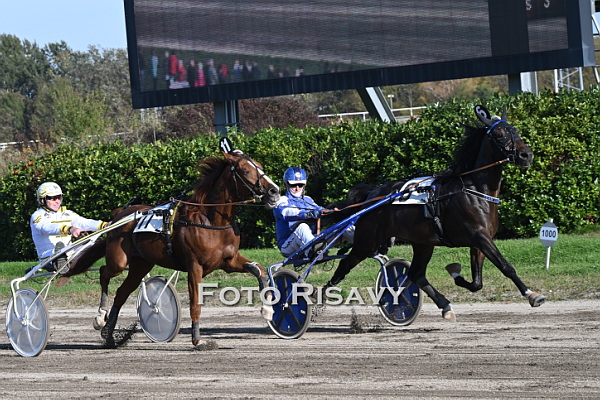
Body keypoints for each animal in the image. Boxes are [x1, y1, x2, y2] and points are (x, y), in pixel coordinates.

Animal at [60, 139, 280, 346]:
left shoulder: (228, 260)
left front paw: (268, 311)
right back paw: (100, 317)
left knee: (122, 292)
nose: (274, 191)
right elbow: (195, 303)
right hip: (119, 260)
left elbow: (259, 270)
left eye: (260, 166)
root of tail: (119, 215)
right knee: (105, 273)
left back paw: (109, 335)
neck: (211, 221)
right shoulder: (194, 266)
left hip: (141, 264)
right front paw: (198, 340)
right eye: (246, 170)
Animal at [324, 105, 545, 321]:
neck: (474, 190)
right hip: (367, 242)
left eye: (515, 130)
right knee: (344, 265)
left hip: (422, 243)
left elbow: (477, 282)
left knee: (416, 274)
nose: (526, 155)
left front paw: (455, 273)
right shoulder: (479, 237)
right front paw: (532, 295)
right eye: (499, 134)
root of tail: (372, 194)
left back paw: (443, 305)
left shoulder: (480, 241)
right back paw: (321, 297)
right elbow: (506, 266)